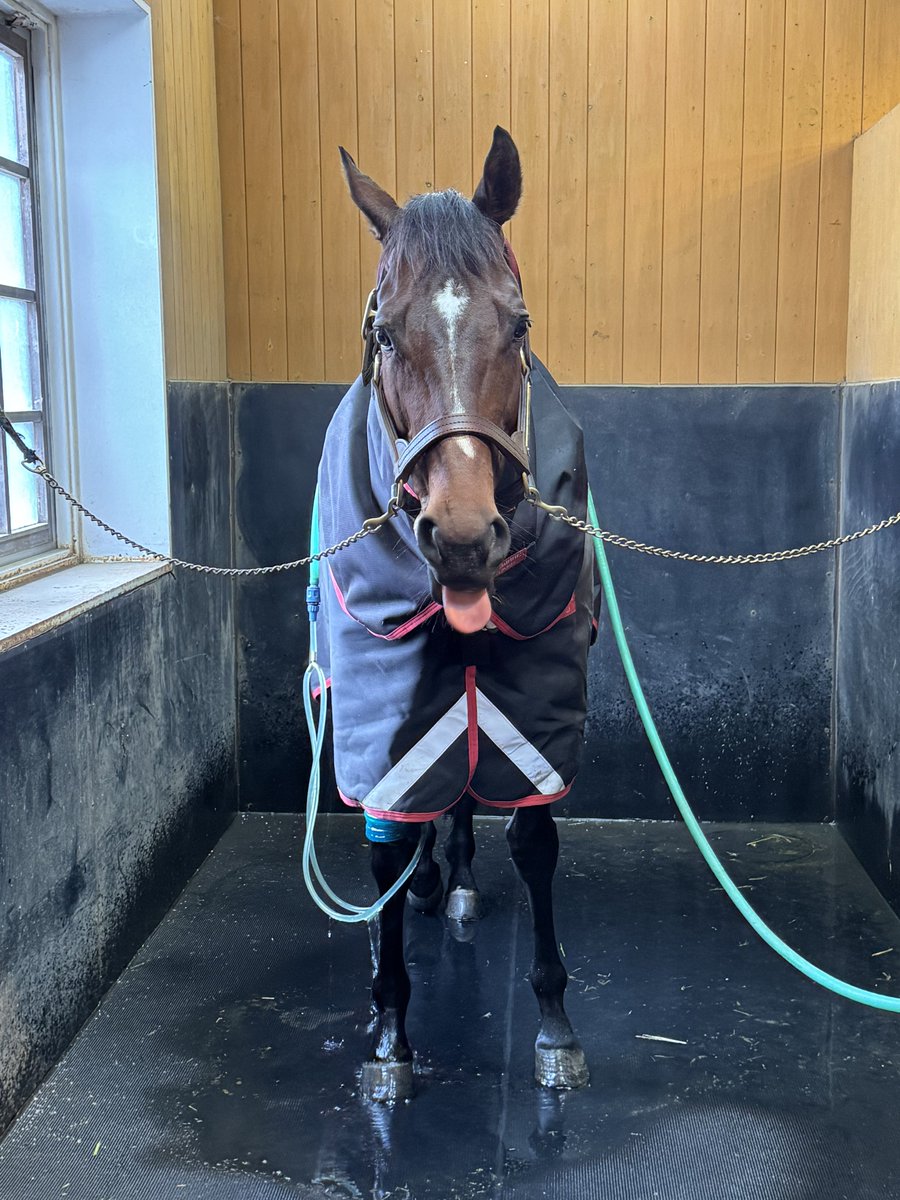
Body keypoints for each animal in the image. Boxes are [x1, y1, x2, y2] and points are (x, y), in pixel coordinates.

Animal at [316, 127, 598, 1103]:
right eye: (381, 331)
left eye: (516, 325)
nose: (466, 537)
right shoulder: (382, 705)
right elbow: (385, 843)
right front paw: (389, 1031)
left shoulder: (535, 692)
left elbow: (535, 835)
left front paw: (553, 1023)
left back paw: (461, 880)